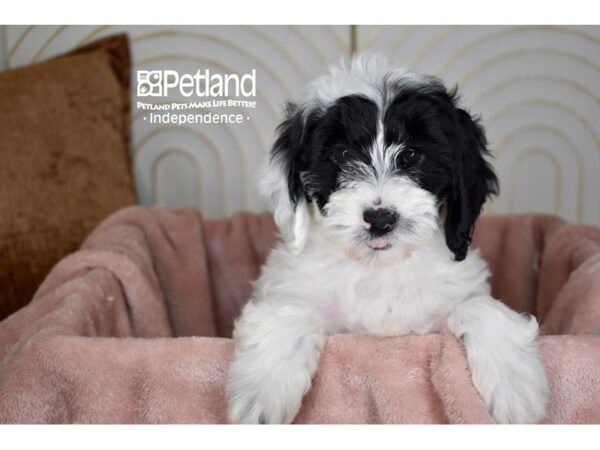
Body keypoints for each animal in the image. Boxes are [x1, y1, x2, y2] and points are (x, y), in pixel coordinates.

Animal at [224, 54, 548, 424]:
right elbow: (291, 311)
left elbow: (479, 305)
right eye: (343, 155)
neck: (378, 270)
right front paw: (261, 393)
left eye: (412, 155)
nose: (380, 219)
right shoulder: (292, 288)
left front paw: (515, 387)